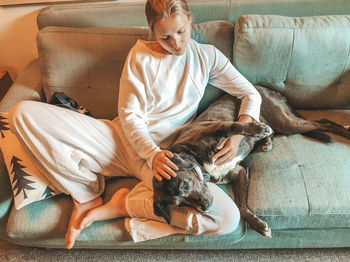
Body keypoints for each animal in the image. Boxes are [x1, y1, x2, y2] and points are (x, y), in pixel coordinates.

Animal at [152, 84, 350, 237]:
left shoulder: (216, 129)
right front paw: (259, 225)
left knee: (324, 122)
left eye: (185, 186)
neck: (201, 164)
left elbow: (234, 126)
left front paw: (257, 129)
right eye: (180, 204)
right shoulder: (237, 172)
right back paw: (265, 143)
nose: (205, 207)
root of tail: (266, 88)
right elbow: (241, 206)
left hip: (286, 122)